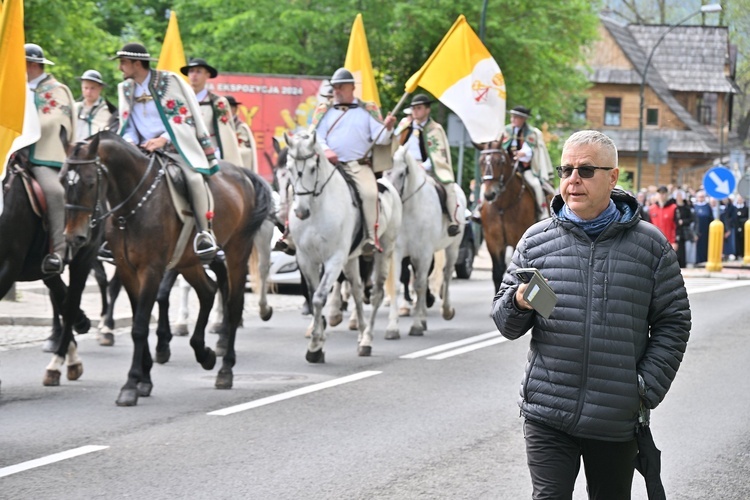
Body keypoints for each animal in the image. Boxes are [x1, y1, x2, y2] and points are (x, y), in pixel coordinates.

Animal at [63, 130, 272, 406]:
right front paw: (144, 379)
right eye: (62, 180)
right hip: (189, 261)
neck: (134, 204)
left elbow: (140, 326)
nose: (74, 236)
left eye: (89, 182)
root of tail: (241, 173)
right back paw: (204, 353)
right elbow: (137, 319)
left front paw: (130, 384)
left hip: (237, 252)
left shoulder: (151, 270)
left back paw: (225, 369)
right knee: (208, 291)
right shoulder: (128, 269)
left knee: (234, 304)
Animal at [286, 131, 402, 362]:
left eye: (312, 168)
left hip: (384, 250)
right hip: (351, 259)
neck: (317, 209)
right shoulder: (306, 259)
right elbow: (313, 296)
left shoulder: (334, 259)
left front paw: (315, 346)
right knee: (357, 291)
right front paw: (318, 343)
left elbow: (319, 297)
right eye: (290, 168)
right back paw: (361, 333)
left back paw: (367, 340)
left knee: (376, 294)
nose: (301, 212)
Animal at [384, 146, 468, 338]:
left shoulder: (423, 254)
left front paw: (415, 326)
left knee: (446, 275)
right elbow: (397, 285)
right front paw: (392, 328)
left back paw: (445, 311)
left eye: (402, 173)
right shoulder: (398, 253)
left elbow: (420, 285)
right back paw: (422, 318)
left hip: (452, 248)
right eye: (385, 172)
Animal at [478, 141, 548, 292]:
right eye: (480, 162)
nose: (489, 194)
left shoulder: (518, 238)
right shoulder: (493, 242)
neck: (503, 207)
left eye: (500, 161)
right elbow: (497, 273)